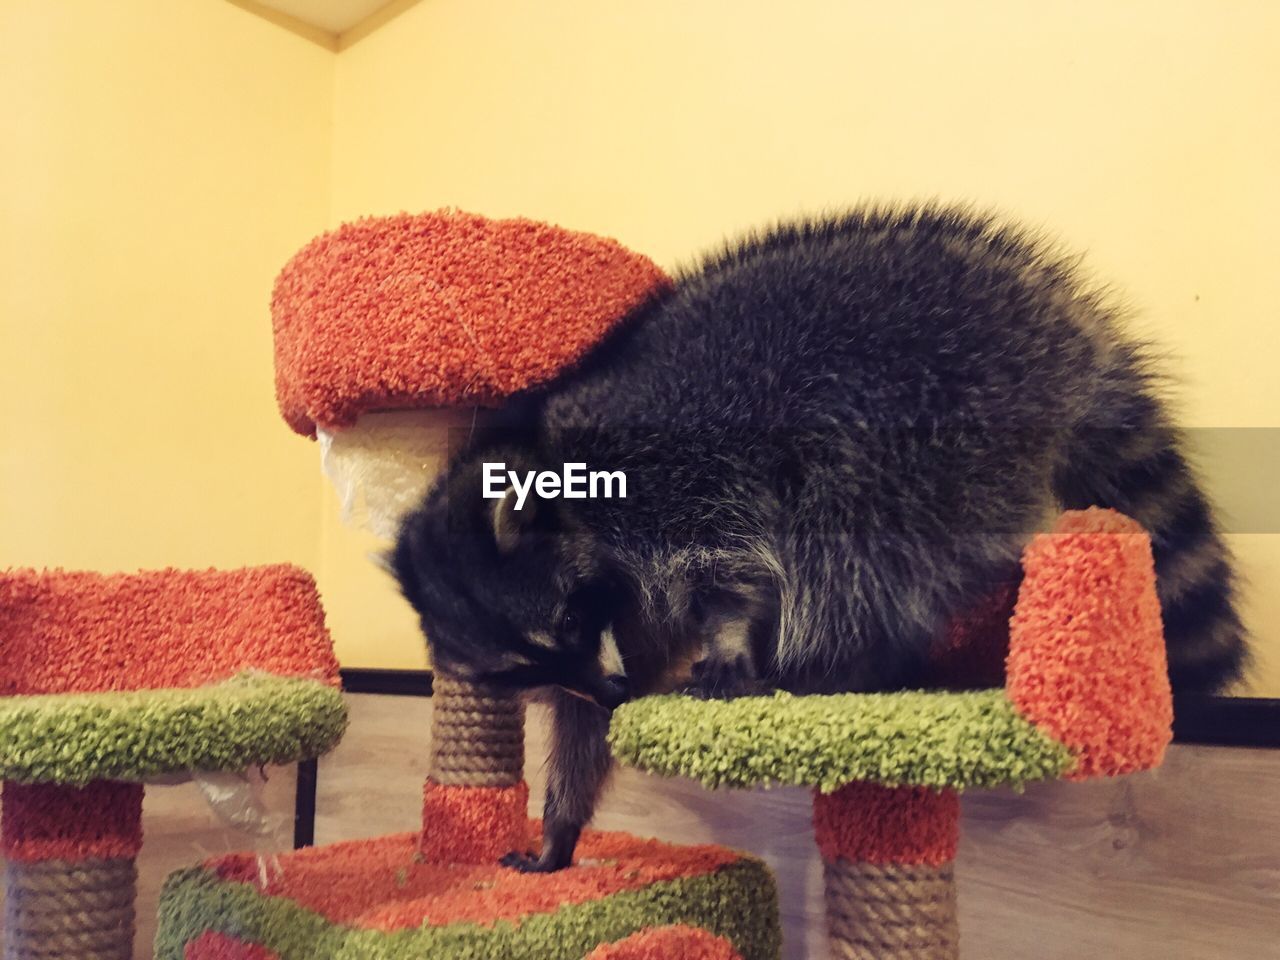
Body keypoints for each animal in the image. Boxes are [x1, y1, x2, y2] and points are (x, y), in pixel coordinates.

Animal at [391, 207, 1249, 875]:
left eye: (568, 620)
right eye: (533, 669)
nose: (612, 691)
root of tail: (1058, 337)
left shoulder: (672, 479)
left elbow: (730, 563)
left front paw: (728, 638)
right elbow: (582, 728)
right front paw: (563, 821)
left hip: (929, 422)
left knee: (851, 550)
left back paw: (844, 668)